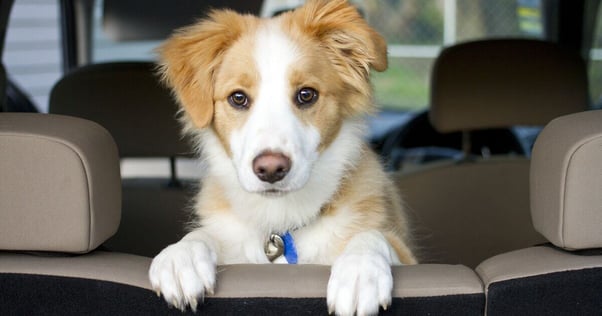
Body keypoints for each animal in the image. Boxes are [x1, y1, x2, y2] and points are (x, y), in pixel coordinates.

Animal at [148, 1, 414, 314]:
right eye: (238, 98)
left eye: (306, 95)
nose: (271, 169)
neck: (280, 223)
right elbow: (204, 234)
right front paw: (180, 257)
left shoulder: (406, 254)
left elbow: (372, 236)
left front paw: (360, 271)